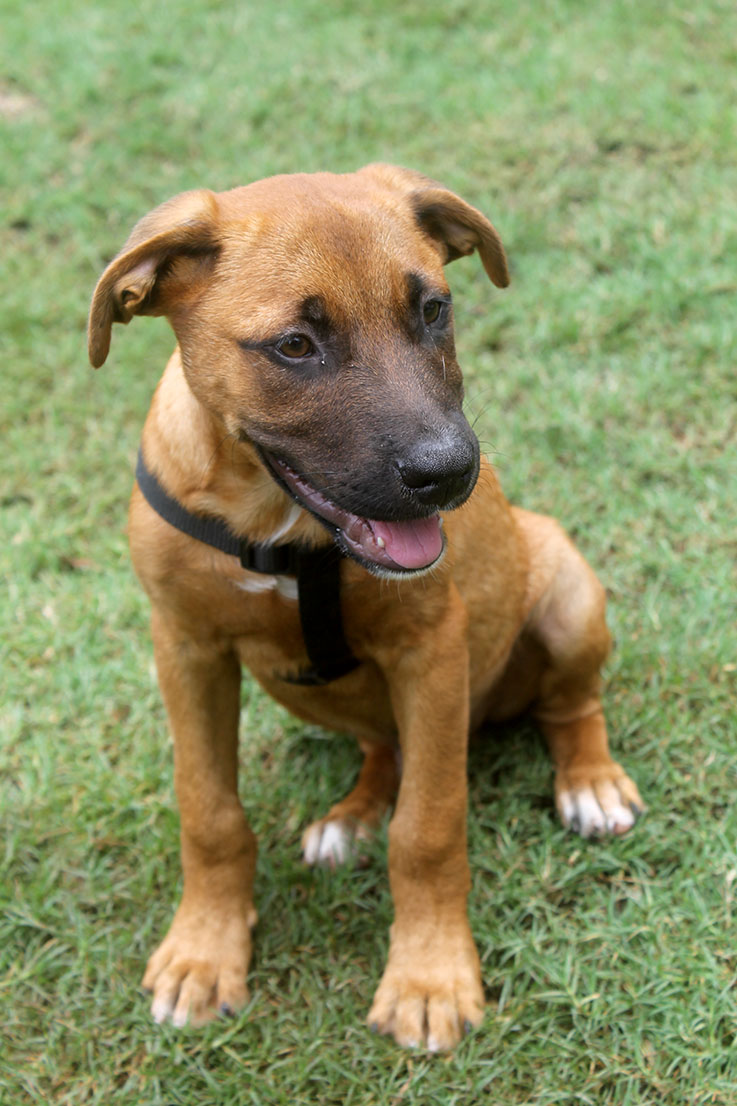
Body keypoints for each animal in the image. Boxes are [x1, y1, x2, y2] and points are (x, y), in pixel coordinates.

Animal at [86, 165, 641, 1052]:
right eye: (294, 346)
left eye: (433, 310)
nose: (450, 472)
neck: (279, 527)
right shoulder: (185, 647)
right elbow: (208, 811)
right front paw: (204, 953)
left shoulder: (432, 651)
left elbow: (428, 828)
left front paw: (428, 977)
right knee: (385, 747)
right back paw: (353, 815)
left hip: (562, 582)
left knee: (568, 704)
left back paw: (590, 783)